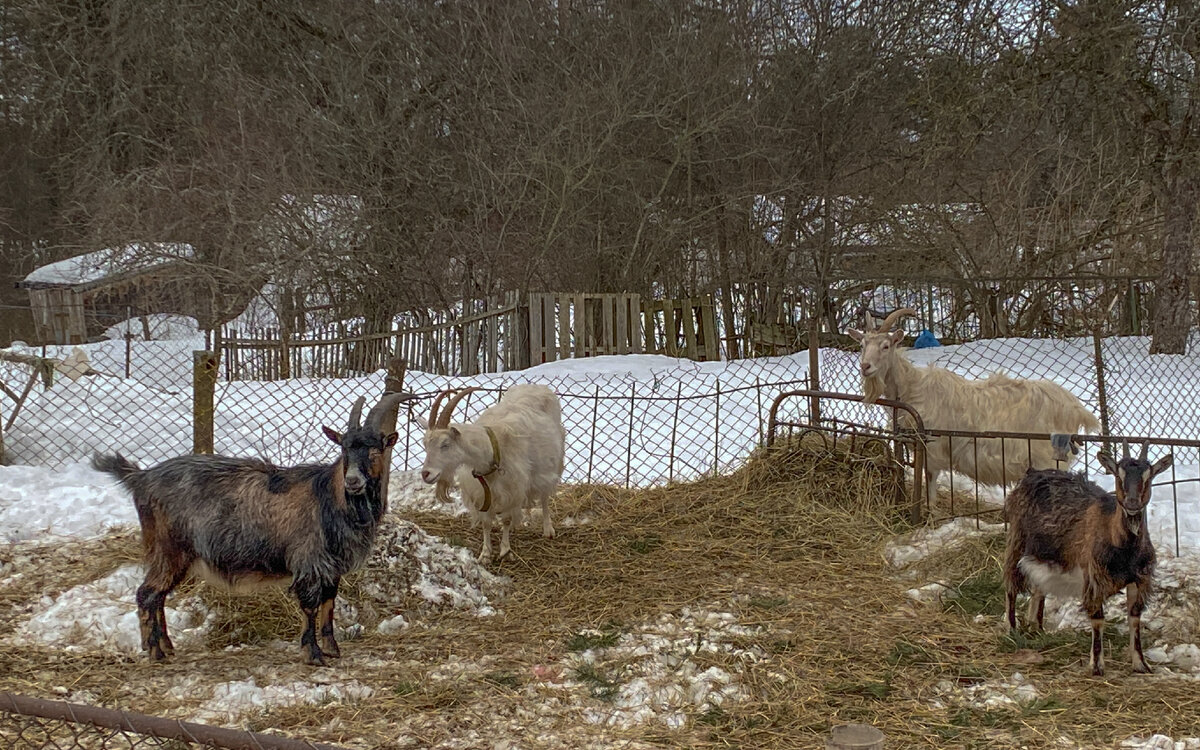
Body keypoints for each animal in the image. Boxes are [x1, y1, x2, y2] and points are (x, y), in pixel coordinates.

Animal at [91, 388, 415, 662]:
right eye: (345, 449)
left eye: (376, 449)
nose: (353, 481)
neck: (329, 497)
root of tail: (141, 479)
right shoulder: (310, 560)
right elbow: (310, 606)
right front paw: (313, 655)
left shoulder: (331, 567)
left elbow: (329, 604)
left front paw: (333, 649)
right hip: (168, 547)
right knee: (147, 594)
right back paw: (155, 652)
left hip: (175, 555)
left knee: (158, 596)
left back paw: (167, 647)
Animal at [417, 386, 566, 561]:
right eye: (425, 445)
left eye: (445, 444)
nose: (426, 474)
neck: (493, 450)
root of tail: (539, 387)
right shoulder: (481, 492)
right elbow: (486, 523)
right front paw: (485, 553)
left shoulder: (511, 489)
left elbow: (506, 519)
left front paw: (505, 550)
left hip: (550, 466)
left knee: (544, 497)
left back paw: (548, 530)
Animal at [849, 307, 1099, 506]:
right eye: (861, 345)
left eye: (886, 346)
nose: (865, 367)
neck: (913, 387)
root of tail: (1075, 407)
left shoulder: (933, 447)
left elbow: (930, 480)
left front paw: (929, 512)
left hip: (1049, 457)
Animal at [1003, 441, 1171, 676]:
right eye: (1118, 475)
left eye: (1149, 476)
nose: (1132, 503)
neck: (1124, 549)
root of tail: (1032, 474)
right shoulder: (1094, 578)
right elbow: (1098, 620)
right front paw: (1097, 666)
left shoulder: (1140, 579)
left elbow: (1135, 618)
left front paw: (1141, 664)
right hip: (1016, 540)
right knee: (1011, 583)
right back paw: (1011, 630)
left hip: (1044, 554)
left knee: (1038, 587)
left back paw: (1037, 628)